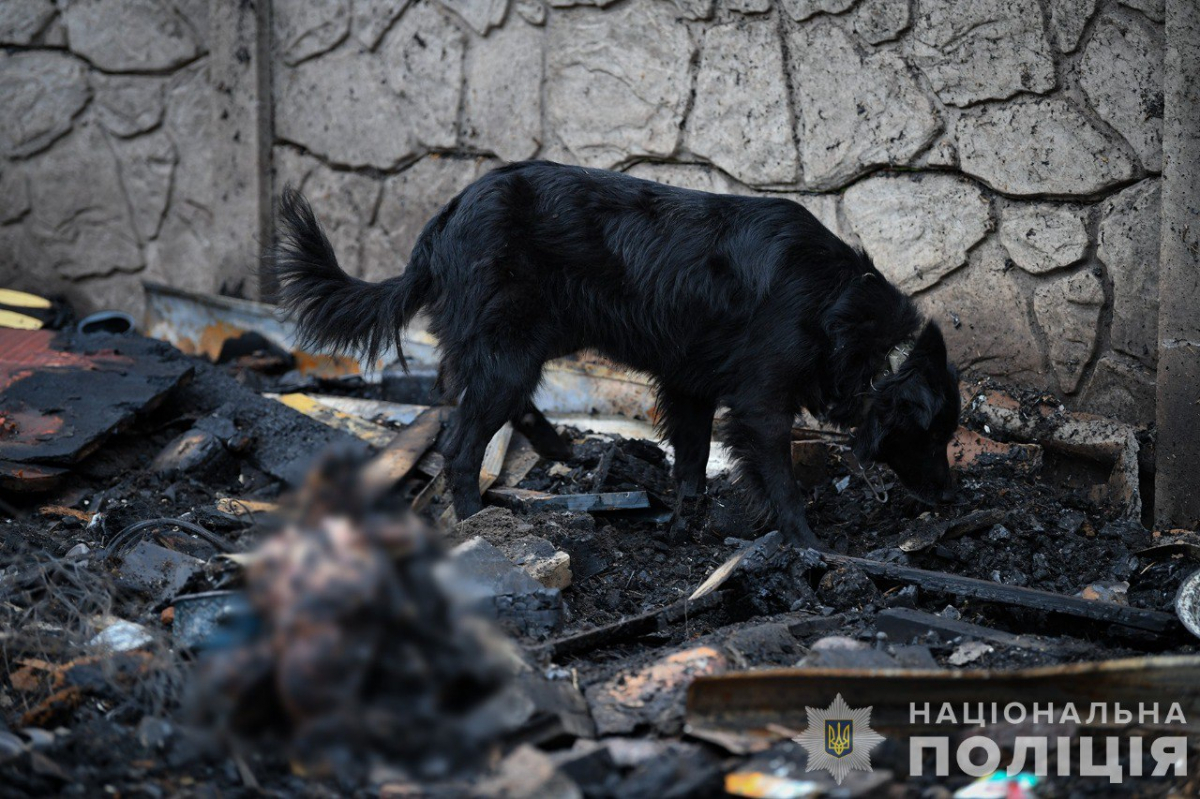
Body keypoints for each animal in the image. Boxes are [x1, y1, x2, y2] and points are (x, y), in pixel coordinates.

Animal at [267, 161, 960, 547]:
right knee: (461, 444)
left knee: (487, 407)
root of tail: (444, 220)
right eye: (933, 438)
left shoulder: (689, 387)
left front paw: (683, 532)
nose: (951, 500)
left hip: (525, 342)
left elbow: (691, 466)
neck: (835, 310)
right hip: (510, 347)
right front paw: (810, 544)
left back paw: (560, 452)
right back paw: (476, 523)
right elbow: (781, 481)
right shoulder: (761, 402)